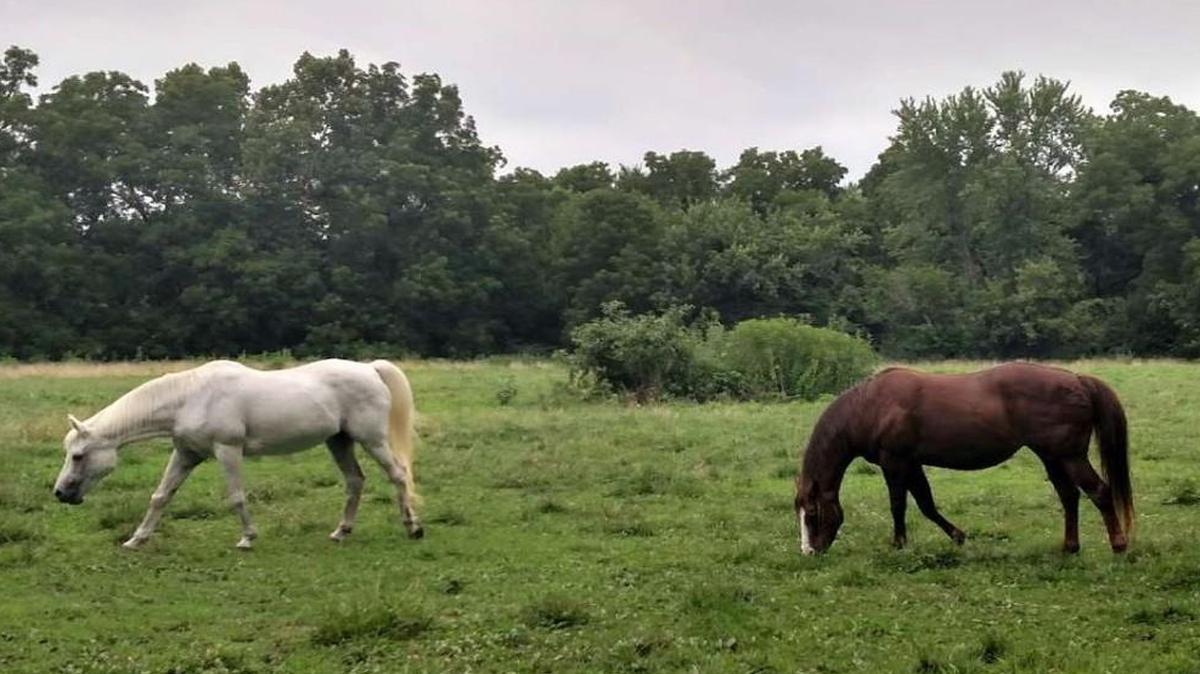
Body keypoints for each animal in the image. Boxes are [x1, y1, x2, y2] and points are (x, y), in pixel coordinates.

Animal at [52, 359, 423, 549]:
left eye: (79, 456)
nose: (60, 493)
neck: (189, 397)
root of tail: (369, 368)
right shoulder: (186, 454)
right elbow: (161, 496)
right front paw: (136, 539)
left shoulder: (226, 450)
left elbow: (236, 496)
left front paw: (247, 538)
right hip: (339, 441)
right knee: (355, 481)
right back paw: (341, 532)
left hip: (371, 439)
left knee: (398, 476)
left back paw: (413, 527)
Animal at [794, 362, 1133, 555]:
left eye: (812, 514)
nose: (810, 552)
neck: (871, 406)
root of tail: (1077, 380)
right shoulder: (912, 463)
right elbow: (926, 504)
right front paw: (958, 536)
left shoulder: (895, 462)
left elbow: (898, 505)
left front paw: (899, 544)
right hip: (1052, 457)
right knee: (1069, 497)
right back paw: (1070, 547)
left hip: (1070, 456)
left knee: (1099, 492)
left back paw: (1118, 545)